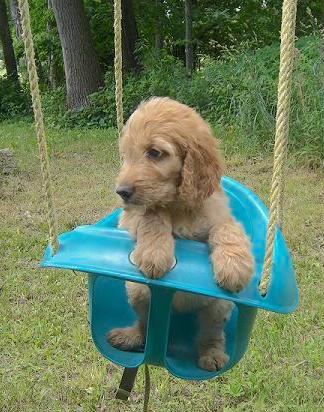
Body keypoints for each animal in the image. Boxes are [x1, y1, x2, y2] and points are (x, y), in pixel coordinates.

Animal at [107, 96, 254, 370]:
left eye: (154, 153)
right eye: (126, 156)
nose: (121, 192)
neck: (179, 206)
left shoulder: (218, 214)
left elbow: (227, 229)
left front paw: (234, 266)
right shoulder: (130, 217)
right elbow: (152, 215)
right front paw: (155, 253)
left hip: (219, 306)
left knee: (210, 332)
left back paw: (212, 354)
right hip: (137, 291)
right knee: (145, 325)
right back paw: (132, 337)